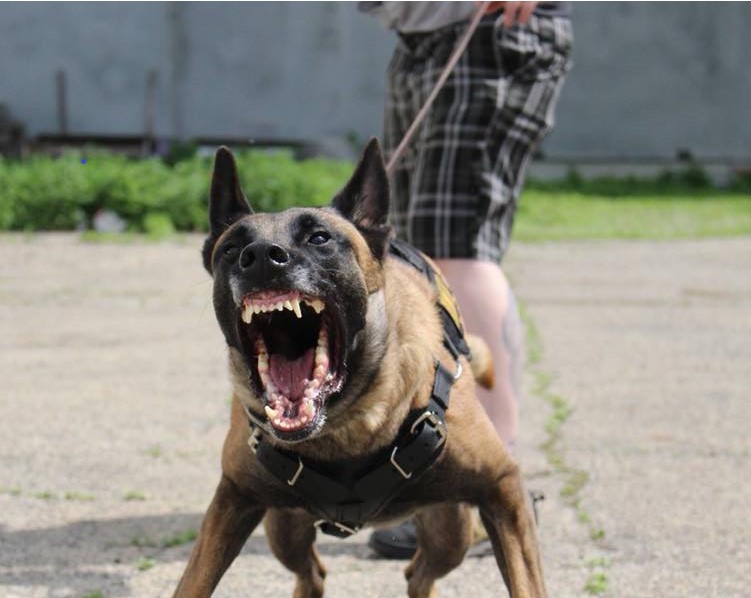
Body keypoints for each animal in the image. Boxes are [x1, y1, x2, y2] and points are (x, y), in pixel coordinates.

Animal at [176, 138, 548, 596]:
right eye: (230, 249)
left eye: (319, 237)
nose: (260, 256)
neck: (345, 428)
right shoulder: (233, 501)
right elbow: (192, 583)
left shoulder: (504, 491)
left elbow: (527, 584)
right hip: (285, 528)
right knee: (314, 572)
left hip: (451, 531)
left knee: (418, 572)